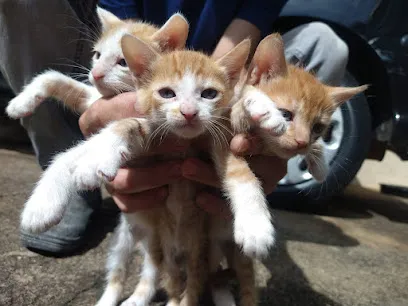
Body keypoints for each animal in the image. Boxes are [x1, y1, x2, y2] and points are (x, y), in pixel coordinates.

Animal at [5, 6, 189, 118]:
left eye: (124, 62)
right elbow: (52, 76)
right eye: (97, 55)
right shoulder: (92, 101)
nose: (95, 73)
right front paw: (20, 103)